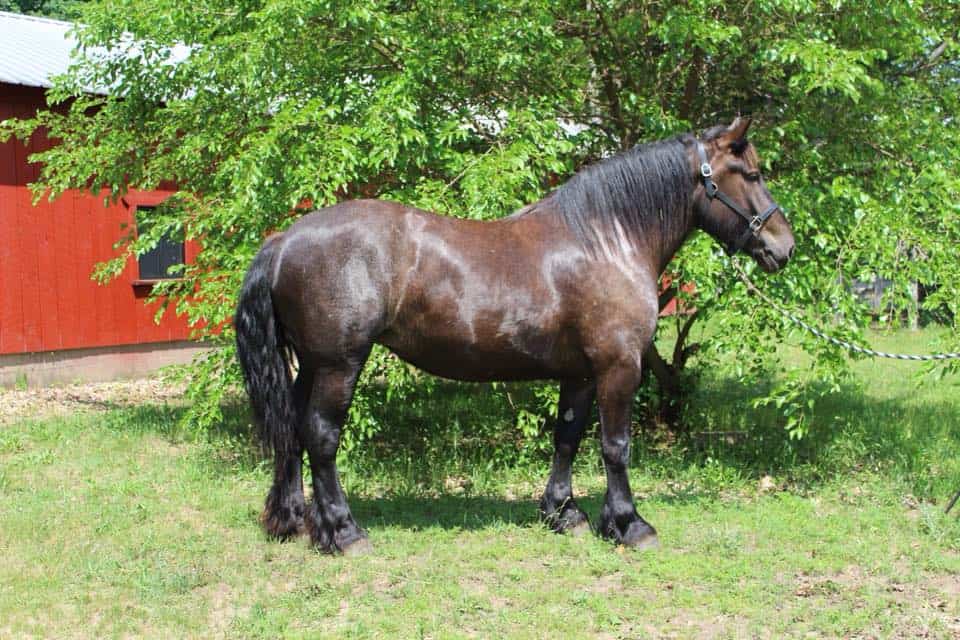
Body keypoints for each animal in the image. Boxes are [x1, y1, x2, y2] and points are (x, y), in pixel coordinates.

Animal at [235, 117, 795, 554]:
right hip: (339, 364)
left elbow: (567, 437)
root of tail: (284, 240)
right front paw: (629, 524)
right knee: (321, 437)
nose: (783, 246)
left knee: (292, 432)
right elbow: (616, 445)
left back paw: (293, 521)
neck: (606, 240)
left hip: (310, 365)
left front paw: (563, 514)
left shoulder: (580, 374)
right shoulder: (619, 366)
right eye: (751, 174)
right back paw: (344, 533)